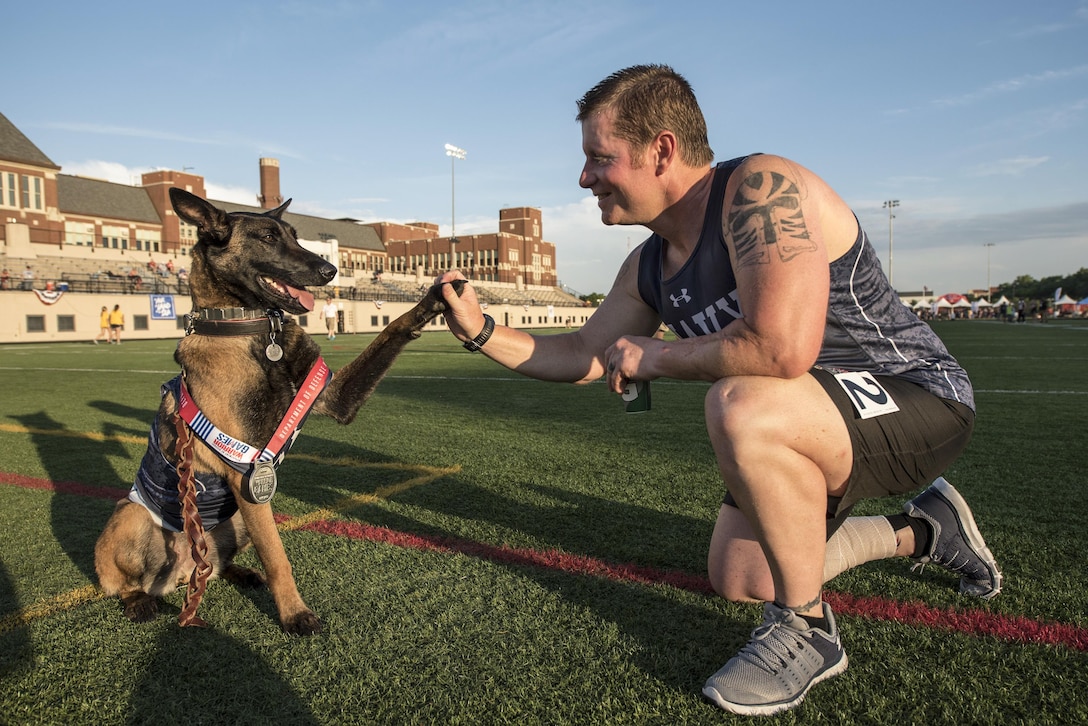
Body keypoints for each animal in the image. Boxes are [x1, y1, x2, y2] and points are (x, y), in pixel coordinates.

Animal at [95, 189, 461, 635]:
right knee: (121, 582)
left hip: (233, 522)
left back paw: (236, 573)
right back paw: (138, 601)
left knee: (212, 567)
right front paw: (294, 614)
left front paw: (436, 299)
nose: (330, 270)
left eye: (294, 235)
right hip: (133, 516)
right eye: (268, 237)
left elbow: (391, 330)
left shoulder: (334, 397)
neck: (254, 331)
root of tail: (180, 572)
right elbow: (277, 556)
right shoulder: (247, 475)